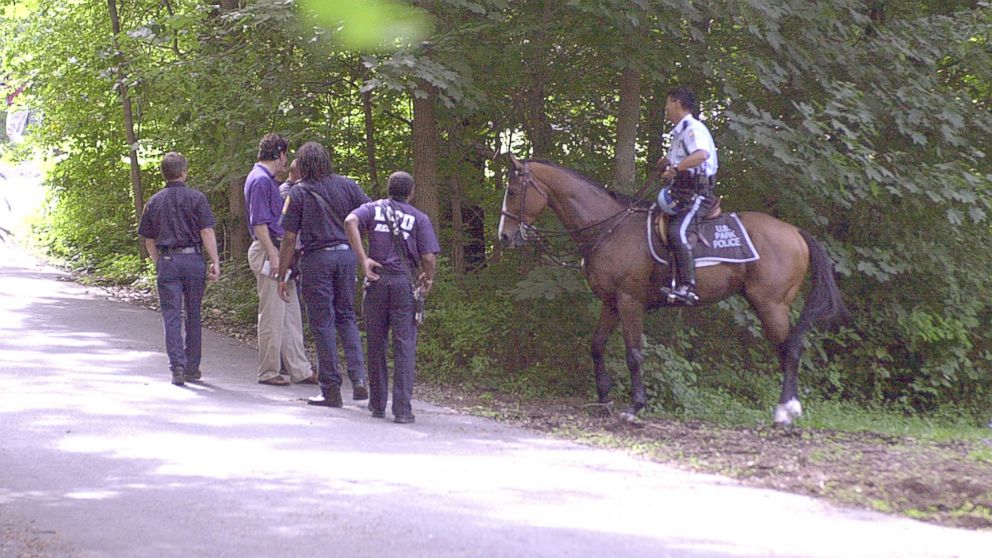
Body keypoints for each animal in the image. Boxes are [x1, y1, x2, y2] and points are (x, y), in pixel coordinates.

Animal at [494, 155, 844, 426]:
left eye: (513, 191)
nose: (505, 237)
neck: (609, 228)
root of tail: (795, 232)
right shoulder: (611, 303)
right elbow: (596, 346)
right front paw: (604, 398)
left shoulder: (629, 301)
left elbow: (633, 354)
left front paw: (635, 406)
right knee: (786, 350)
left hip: (771, 304)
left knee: (791, 350)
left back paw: (785, 412)